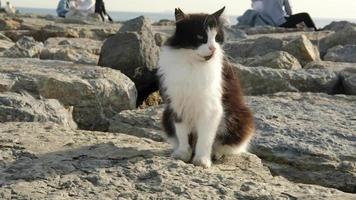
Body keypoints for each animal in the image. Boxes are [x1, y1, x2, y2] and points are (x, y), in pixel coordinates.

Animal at [157, 7, 254, 168]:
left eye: (217, 37)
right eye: (200, 37)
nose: (213, 48)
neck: (193, 65)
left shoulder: (212, 109)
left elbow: (205, 138)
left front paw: (202, 160)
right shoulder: (177, 105)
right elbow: (182, 133)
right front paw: (183, 154)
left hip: (240, 118)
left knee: (223, 145)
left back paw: (216, 154)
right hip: (166, 115)